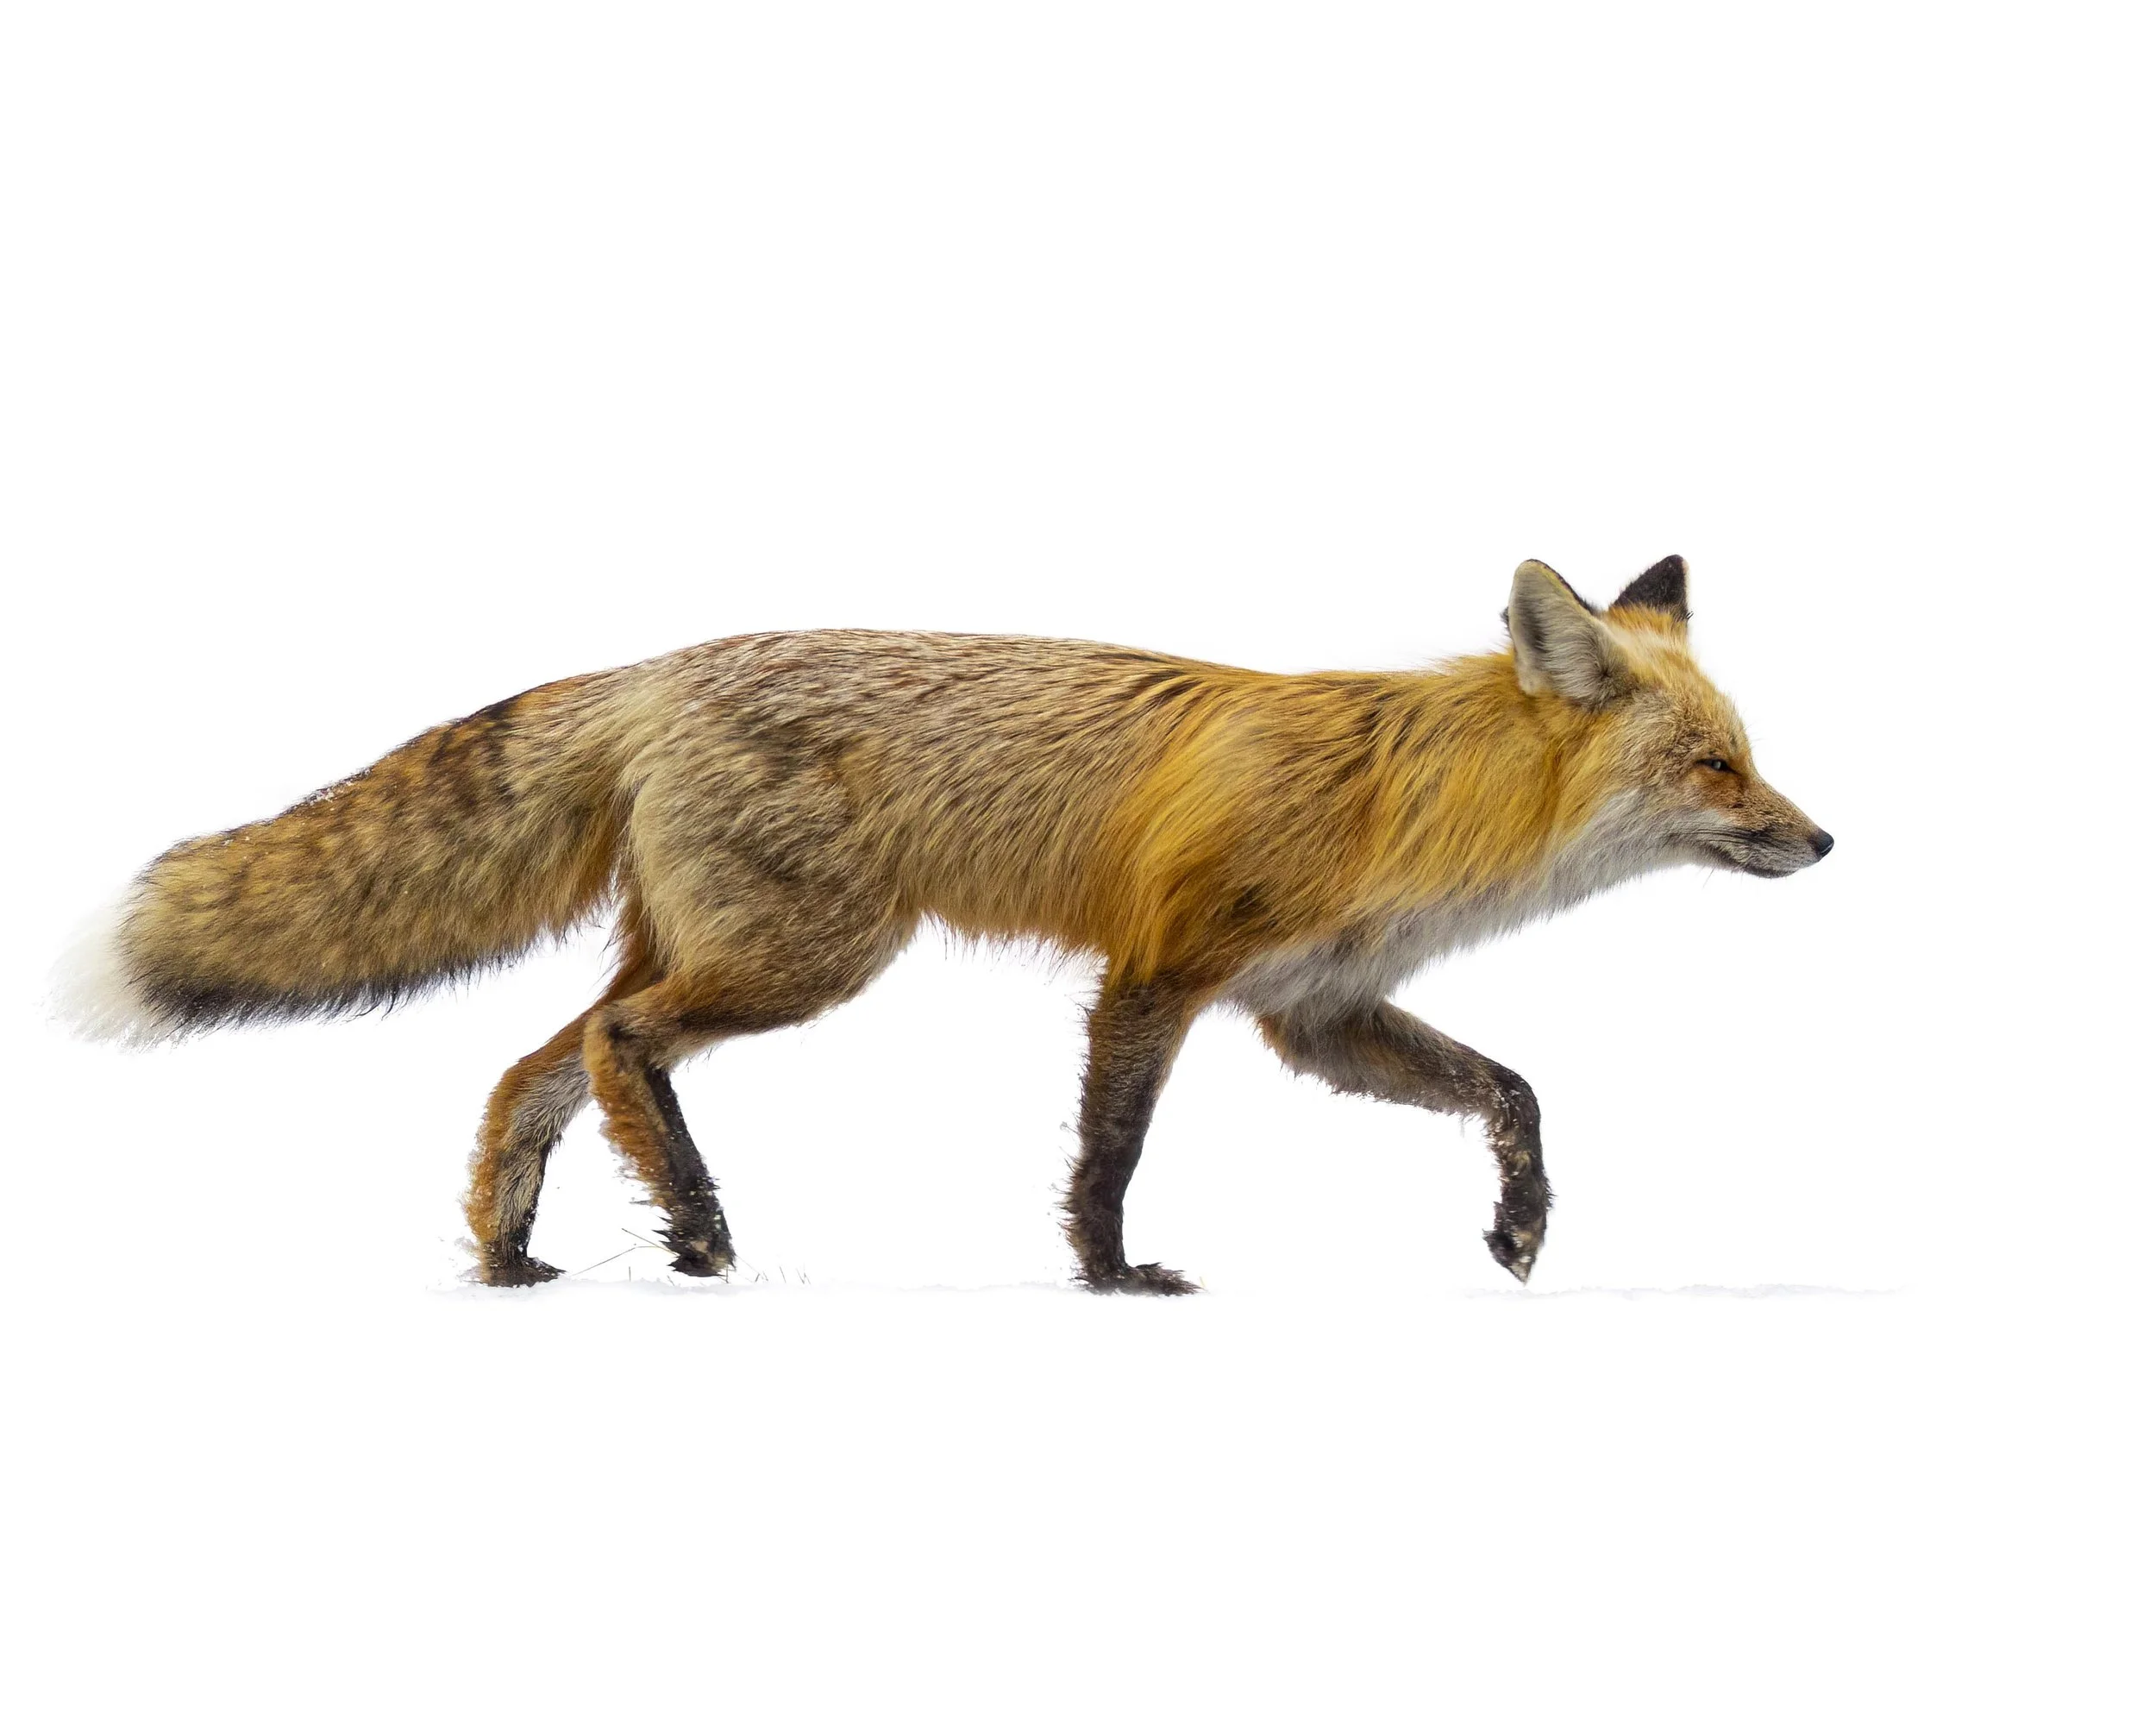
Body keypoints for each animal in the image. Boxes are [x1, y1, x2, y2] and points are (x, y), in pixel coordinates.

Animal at [59, 555, 1830, 1291]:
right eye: (1718, 765)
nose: (1823, 838)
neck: (1407, 801)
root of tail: (654, 667)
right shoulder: (1163, 971)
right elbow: (1109, 1151)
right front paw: (1110, 1281)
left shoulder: (1316, 1013)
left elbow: (1516, 1093)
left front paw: (1522, 1228)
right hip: (805, 960)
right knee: (616, 1046)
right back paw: (695, 1226)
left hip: (725, 949)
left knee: (531, 1070)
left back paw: (510, 1255)